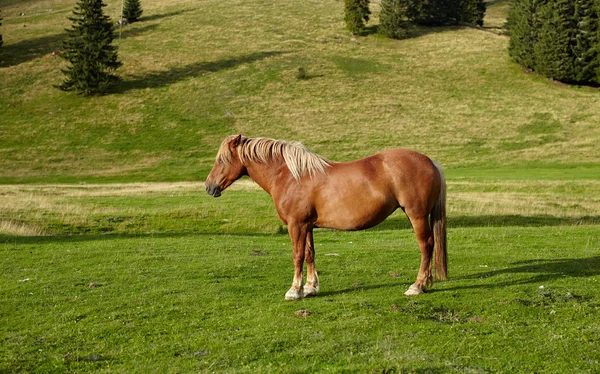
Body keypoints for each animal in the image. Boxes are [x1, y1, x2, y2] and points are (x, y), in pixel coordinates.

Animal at [205, 136, 446, 300]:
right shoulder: (307, 226)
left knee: (426, 245)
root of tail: (430, 162)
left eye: (221, 159)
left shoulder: (296, 225)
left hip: (416, 216)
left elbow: (297, 255)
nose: (209, 187)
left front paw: (294, 290)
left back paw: (417, 285)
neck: (292, 176)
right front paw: (311, 287)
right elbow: (310, 254)